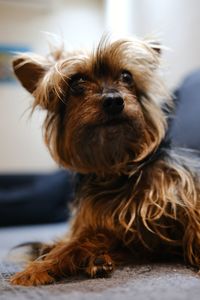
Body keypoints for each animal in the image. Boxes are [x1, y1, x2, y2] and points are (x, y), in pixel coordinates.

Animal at [9, 36, 200, 284]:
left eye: (127, 77)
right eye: (77, 81)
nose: (113, 100)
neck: (117, 166)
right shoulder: (103, 227)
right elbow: (71, 246)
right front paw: (38, 268)